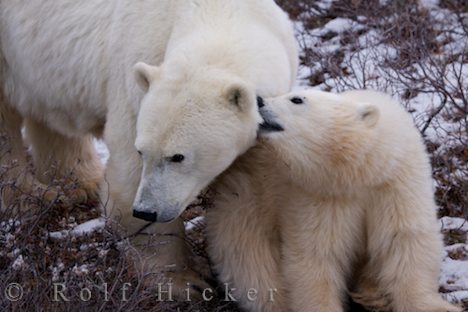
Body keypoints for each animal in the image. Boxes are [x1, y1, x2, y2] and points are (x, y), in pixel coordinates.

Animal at [0, 0, 298, 288]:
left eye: (178, 156)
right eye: (142, 151)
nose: (146, 210)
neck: (216, 14)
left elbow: (248, 193)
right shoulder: (136, 80)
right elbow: (129, 178)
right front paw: (186, 281)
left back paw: (82, 184)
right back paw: (31, 198)